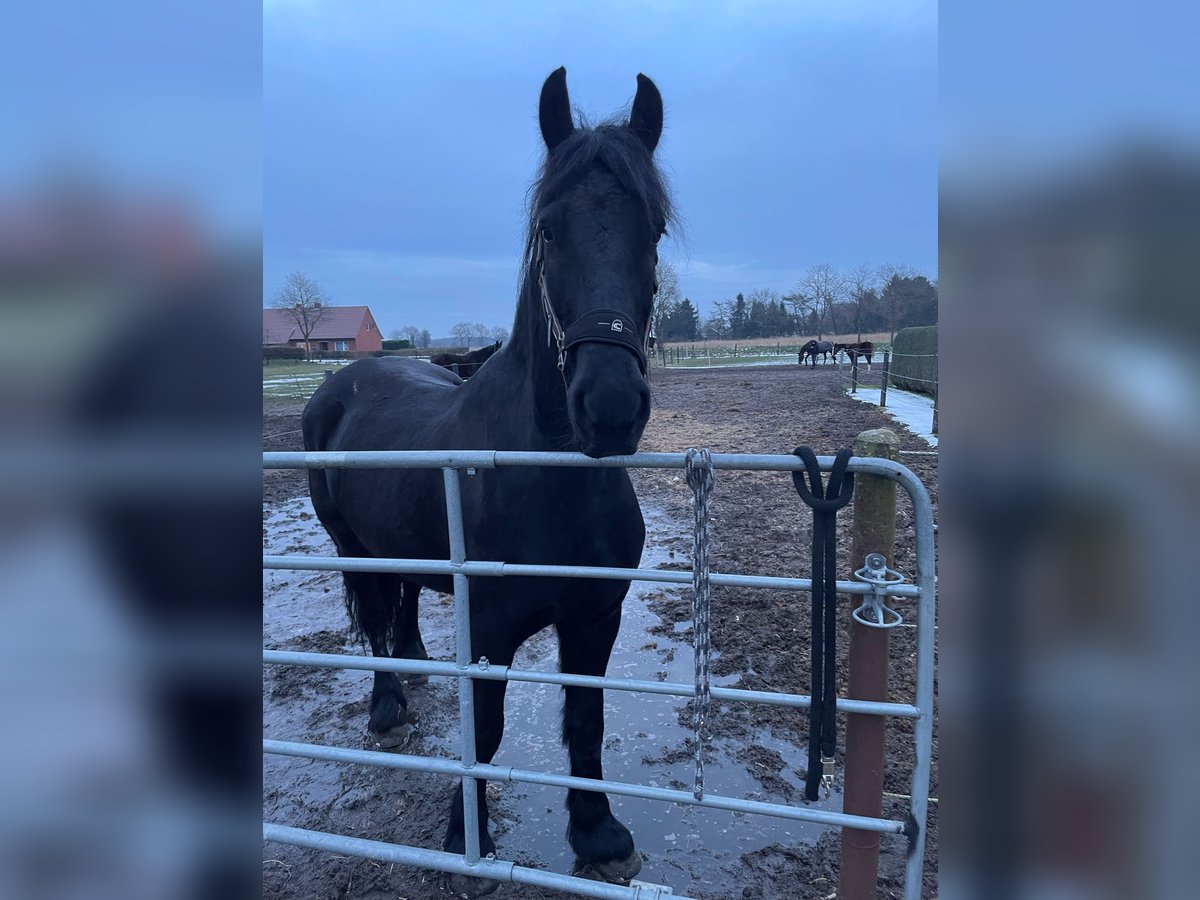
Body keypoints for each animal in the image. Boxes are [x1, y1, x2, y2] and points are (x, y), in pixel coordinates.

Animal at [300, 66, 672, 897]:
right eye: (549, 230)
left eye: (655, 230)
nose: (608, 408)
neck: (550, 479)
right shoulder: (492, 631)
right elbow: (489, 729)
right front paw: (462, 837)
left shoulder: (596, 617)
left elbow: (586, 720)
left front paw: (598, 834)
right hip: (350, 546)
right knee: (374, 614)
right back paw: (387, 707)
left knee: (404, 598)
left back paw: (415, 662)